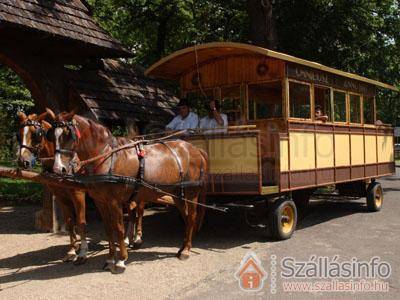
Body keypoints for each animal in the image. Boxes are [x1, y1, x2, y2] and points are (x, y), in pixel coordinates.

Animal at [16, 111, 88, 264]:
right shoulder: (62, 197)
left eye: (36, 134)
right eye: (18, 134)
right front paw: (72, 251)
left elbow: (81, 222)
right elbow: (70, 222)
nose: (22, 161)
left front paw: (83, 253)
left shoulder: (78, 195)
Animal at [48, 110, 208, 274]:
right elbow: (109, 229)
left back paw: (186, 250)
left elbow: (119, 228)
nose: (58, 169)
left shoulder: (115, 201)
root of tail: (196, 150)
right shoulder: (101, 202)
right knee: (187, 217)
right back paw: (182, 247)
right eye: (51, 135)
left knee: (192, 218)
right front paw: (110, 259)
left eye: (68, 134)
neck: (108, 157)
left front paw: (121, 260)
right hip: (177, 195)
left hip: (191, 193)